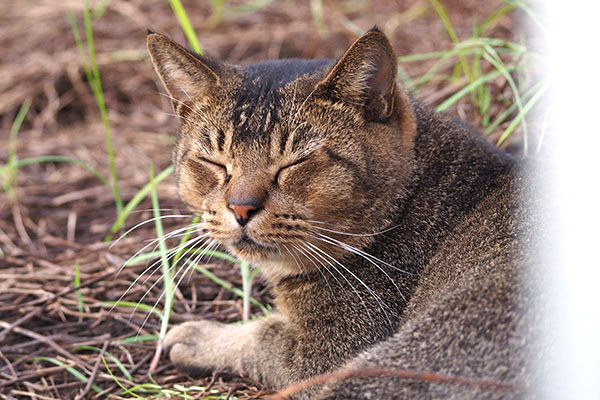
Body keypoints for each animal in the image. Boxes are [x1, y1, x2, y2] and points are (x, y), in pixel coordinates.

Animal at [146, 26, 544, 398]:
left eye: (296, 162)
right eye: (214, 162)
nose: (241, 207)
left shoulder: (329, 352)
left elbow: (262, 336)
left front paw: (198, 337)